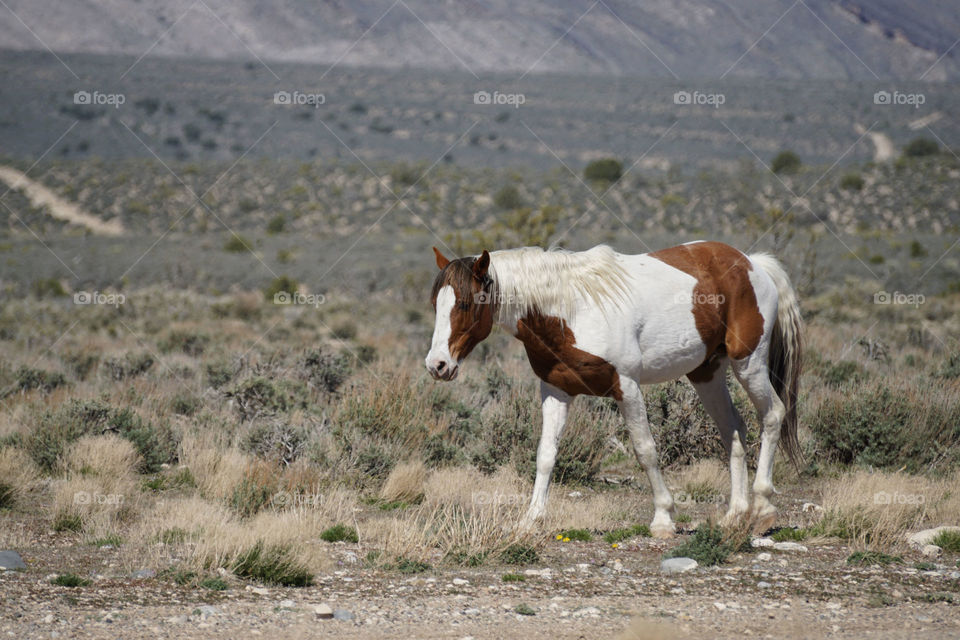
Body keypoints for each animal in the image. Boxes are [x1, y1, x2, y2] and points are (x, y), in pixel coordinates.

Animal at [428, 240, 804, 536]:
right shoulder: (555, 391)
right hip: (706, 374)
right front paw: (531, 519)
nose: (437, 365)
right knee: (734, 431)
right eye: (435, 304)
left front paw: (663, 518)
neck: (571, 312)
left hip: (749, 364)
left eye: (465, 303)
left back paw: (763, 509)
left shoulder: (627, 387)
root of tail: (753, 263)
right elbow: (546, 455)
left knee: (772, 415)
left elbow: (645, 450)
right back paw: (735, 514)